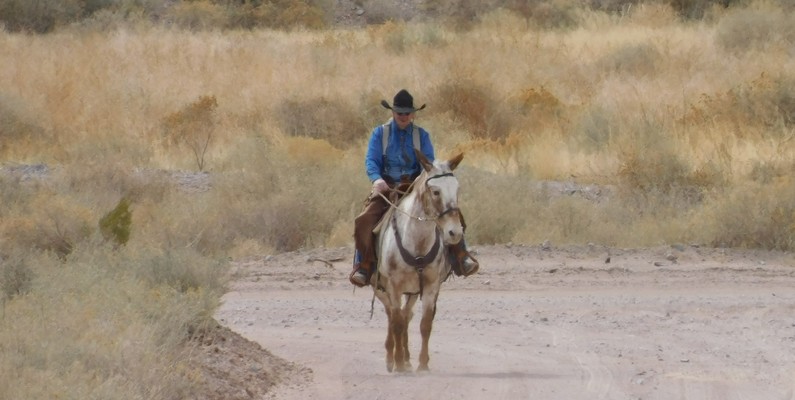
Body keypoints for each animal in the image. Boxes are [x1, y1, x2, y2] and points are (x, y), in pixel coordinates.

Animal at [374, 148, 466, 374]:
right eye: (435, 192)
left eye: (457, 189)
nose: (454, 233)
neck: (417, 243)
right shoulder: (394, 286)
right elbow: (397, 323)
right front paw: (398, 363)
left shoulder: (431, 286)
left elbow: (425, 324)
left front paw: (422, 364)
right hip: (381, 287)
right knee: (393, 316)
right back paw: (392, 358)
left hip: (414, 291)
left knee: (406, 315)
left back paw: (407, 359)